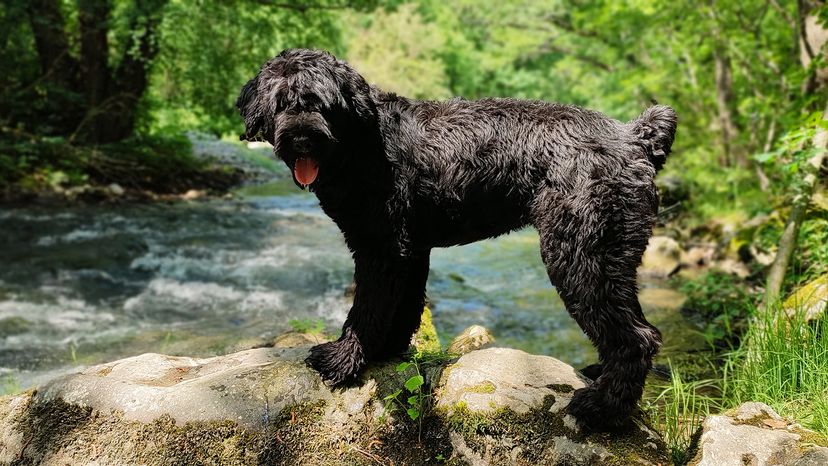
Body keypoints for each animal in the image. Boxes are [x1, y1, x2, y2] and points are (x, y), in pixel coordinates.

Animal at [236, 48, 676, 430]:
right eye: (281, 102)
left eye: (320, 103)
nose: (302, 139)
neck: (361, 142)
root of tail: (633, 137)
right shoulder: (408, 250)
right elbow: (402, 307)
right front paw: (387, 351)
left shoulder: (382, 248)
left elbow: (367, 309)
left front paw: (343, 360)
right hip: (611, 257)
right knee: (640, 329)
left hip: (581, 255)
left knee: (636, 338)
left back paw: (603, 410)